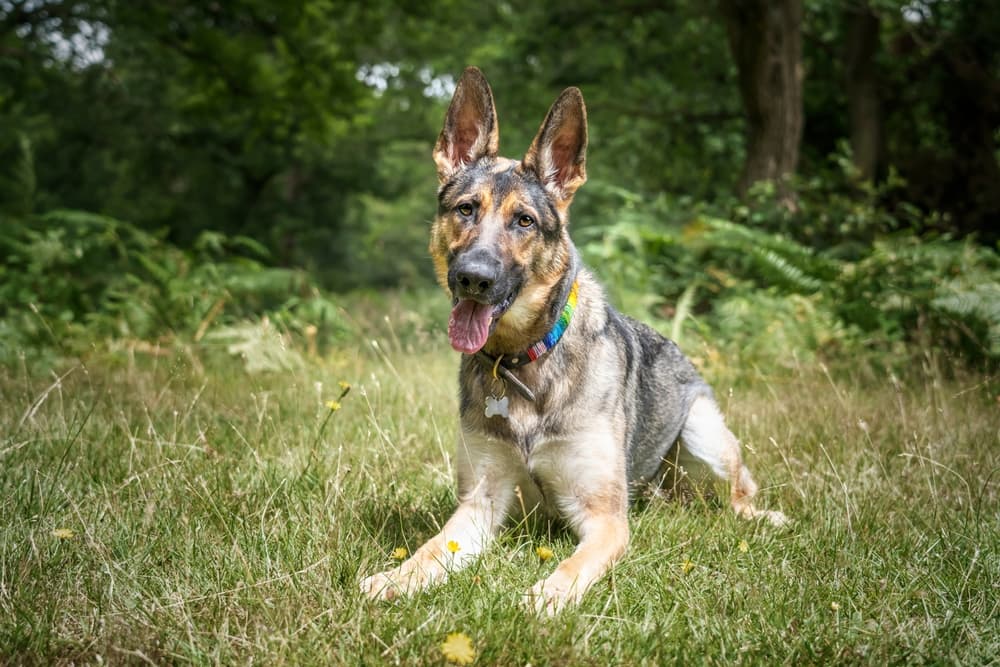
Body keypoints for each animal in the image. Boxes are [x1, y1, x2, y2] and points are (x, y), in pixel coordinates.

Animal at [362, 68, 788, 616]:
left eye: (524, 221)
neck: (522, 361)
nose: (472, 278)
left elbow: (574, 564)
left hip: (704, 432)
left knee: (739, 496)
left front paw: (547, 596)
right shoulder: (480, 505)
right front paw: (396, 577)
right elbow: (431, 550)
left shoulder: (604, 519)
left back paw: (764, 516)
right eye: (466, 210)